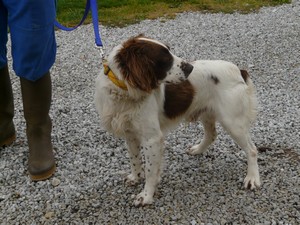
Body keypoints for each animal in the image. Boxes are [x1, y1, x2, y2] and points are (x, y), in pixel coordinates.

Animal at [94, 34, 260, 206]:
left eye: (170, 51)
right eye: (165, 59)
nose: (190, 68)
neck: (124, 92)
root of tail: (239, 70)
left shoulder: (152, 138)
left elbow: (151, 171)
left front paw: (146, 196)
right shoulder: (130, 133)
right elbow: (135, 159)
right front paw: (135, 177)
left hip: (232, 122)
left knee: (252, 150)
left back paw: (252, 178)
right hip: (207, 113)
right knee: (212, 135)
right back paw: (198, 149)